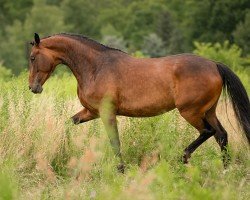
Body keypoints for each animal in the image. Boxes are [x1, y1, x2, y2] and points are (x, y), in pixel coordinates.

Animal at [27, 32, 250, 172]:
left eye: (32, 58)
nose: (33, 88)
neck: (95, 67)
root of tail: (214, 64)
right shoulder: (91, 112)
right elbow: (68, 123)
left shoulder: (107, 113)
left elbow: (115, 142)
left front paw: (121, 170)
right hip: (209, 111)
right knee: (221, 135)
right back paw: (225, 171)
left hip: (191, 112)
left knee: (208, 132)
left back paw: (183, 158)